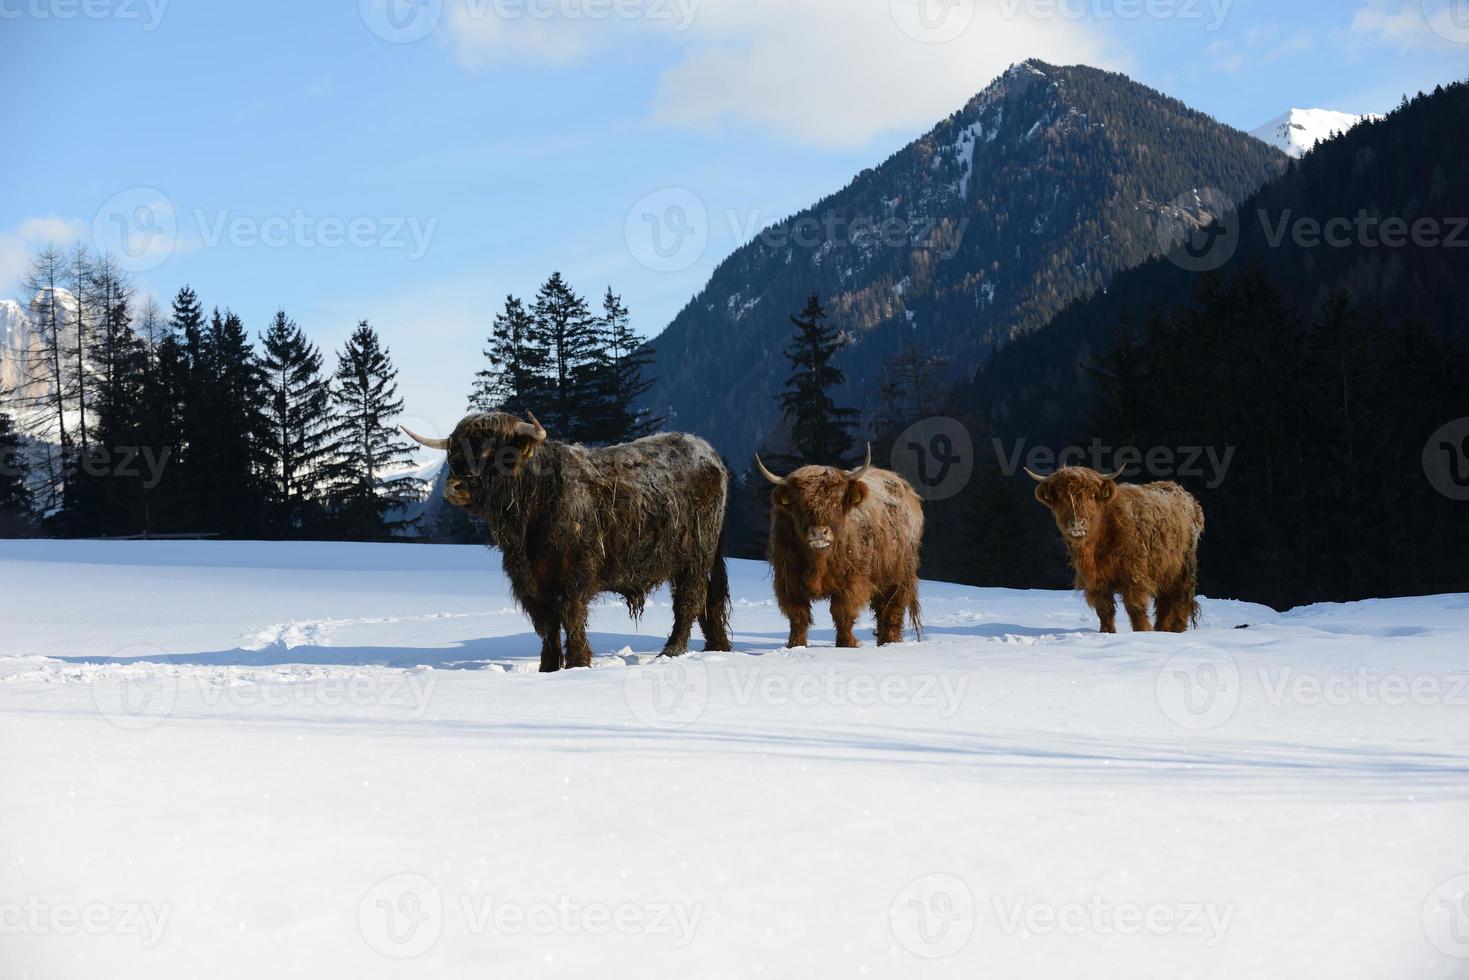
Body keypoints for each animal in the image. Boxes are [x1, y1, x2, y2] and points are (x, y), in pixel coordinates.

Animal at [405, 411, 731, 669]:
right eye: (455, 452)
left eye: (494, 451)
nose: (454, 487)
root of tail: (707, 452)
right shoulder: (530, 581)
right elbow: (547, 626)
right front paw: (548, 667)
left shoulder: (573, 574)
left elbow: (571, 617)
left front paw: (577, 663)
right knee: (707, 599)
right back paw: (717, 646)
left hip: (695, 554)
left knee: (690, 599)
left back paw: (672, 651)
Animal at [758, 449, 916, 652]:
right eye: (800, 503)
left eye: (836, 501)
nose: (819, 532)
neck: (818, 561)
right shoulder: (788, 579)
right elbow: (798, 615)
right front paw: (795, 645)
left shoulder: (852, 580)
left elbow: (842, 612)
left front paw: (845, 645)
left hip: (899, 576)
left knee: (892, 609)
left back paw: (890, 642)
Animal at [1022, 470, 1204, 637]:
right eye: (1060, 497)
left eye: (1091, 496)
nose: (1077, 524)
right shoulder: (1095, 581)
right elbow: (1104, 609)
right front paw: (1107, 633)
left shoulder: (1134, 574)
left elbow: (1135, 607)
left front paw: (1143, 632)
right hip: (1164, 571)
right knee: (1164, 603)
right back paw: (1162, 630)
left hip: (1184, 569)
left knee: (1181, 599)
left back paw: (1177, 631)